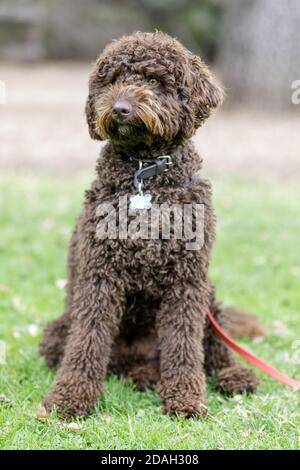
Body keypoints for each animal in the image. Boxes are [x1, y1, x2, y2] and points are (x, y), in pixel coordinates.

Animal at [39, 30, 260, 418]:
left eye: (155, 81)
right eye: (113, 80)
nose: (120, 108)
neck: (146, 176)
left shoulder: (187, 282)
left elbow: (185, 346)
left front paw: (186, 399)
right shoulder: (99, 276)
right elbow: (87, 343)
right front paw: (69, 399)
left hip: (209, 296)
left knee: (215, 350)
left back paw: (234, 375)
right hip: (58, 331)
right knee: (110, 360)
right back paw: (142, 374)